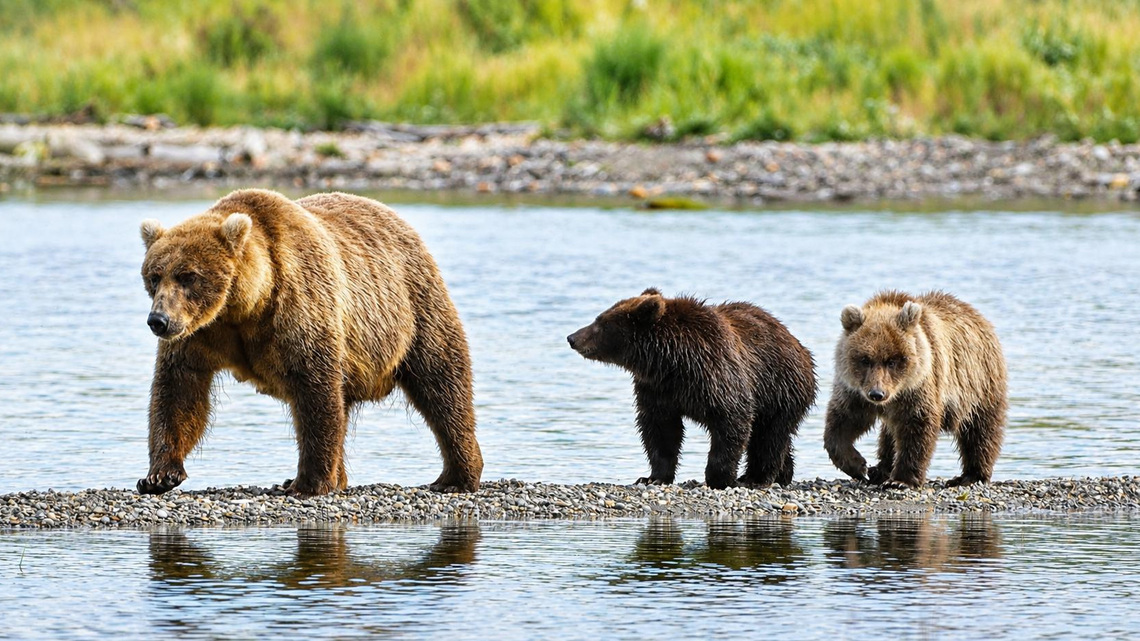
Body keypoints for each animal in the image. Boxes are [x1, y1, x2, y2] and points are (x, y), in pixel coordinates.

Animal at [136, 189, 482, 497]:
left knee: (441, 382)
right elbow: (179, 391)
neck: (245, 307)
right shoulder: (199, 334)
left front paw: (308, 483)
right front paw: (158, 476)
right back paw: (337, 478)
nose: (158, 320)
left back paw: (455, 477)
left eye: (188, 276)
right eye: (154, 275)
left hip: (412, 306)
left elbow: (315, 391)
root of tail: (395, 217)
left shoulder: (299, 306)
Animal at [567, 289, 817, 489]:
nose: (572, 337)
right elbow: (660, 430)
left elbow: (731, 420)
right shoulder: (657, 389)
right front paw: (653, 477)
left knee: (769, 435)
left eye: (601, 323)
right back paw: (782, 474)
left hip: (779, 387)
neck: (670, 361)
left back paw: (757, 478)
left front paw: (719, 478)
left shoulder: (717, 375)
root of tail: (798, 344)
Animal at [823, 290, 1007, 489]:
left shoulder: (919, 387)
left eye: (892, 361)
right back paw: (879, 469)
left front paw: (900, 480)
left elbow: (916, 427)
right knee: (889, 434)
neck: (896, 394)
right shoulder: (855, 391)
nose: (877, 394)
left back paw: (971, 475)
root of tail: (977, 315)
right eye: (865, 359)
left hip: (979, 382)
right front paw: (858, 466)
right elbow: (843, 421)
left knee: (980, 429)